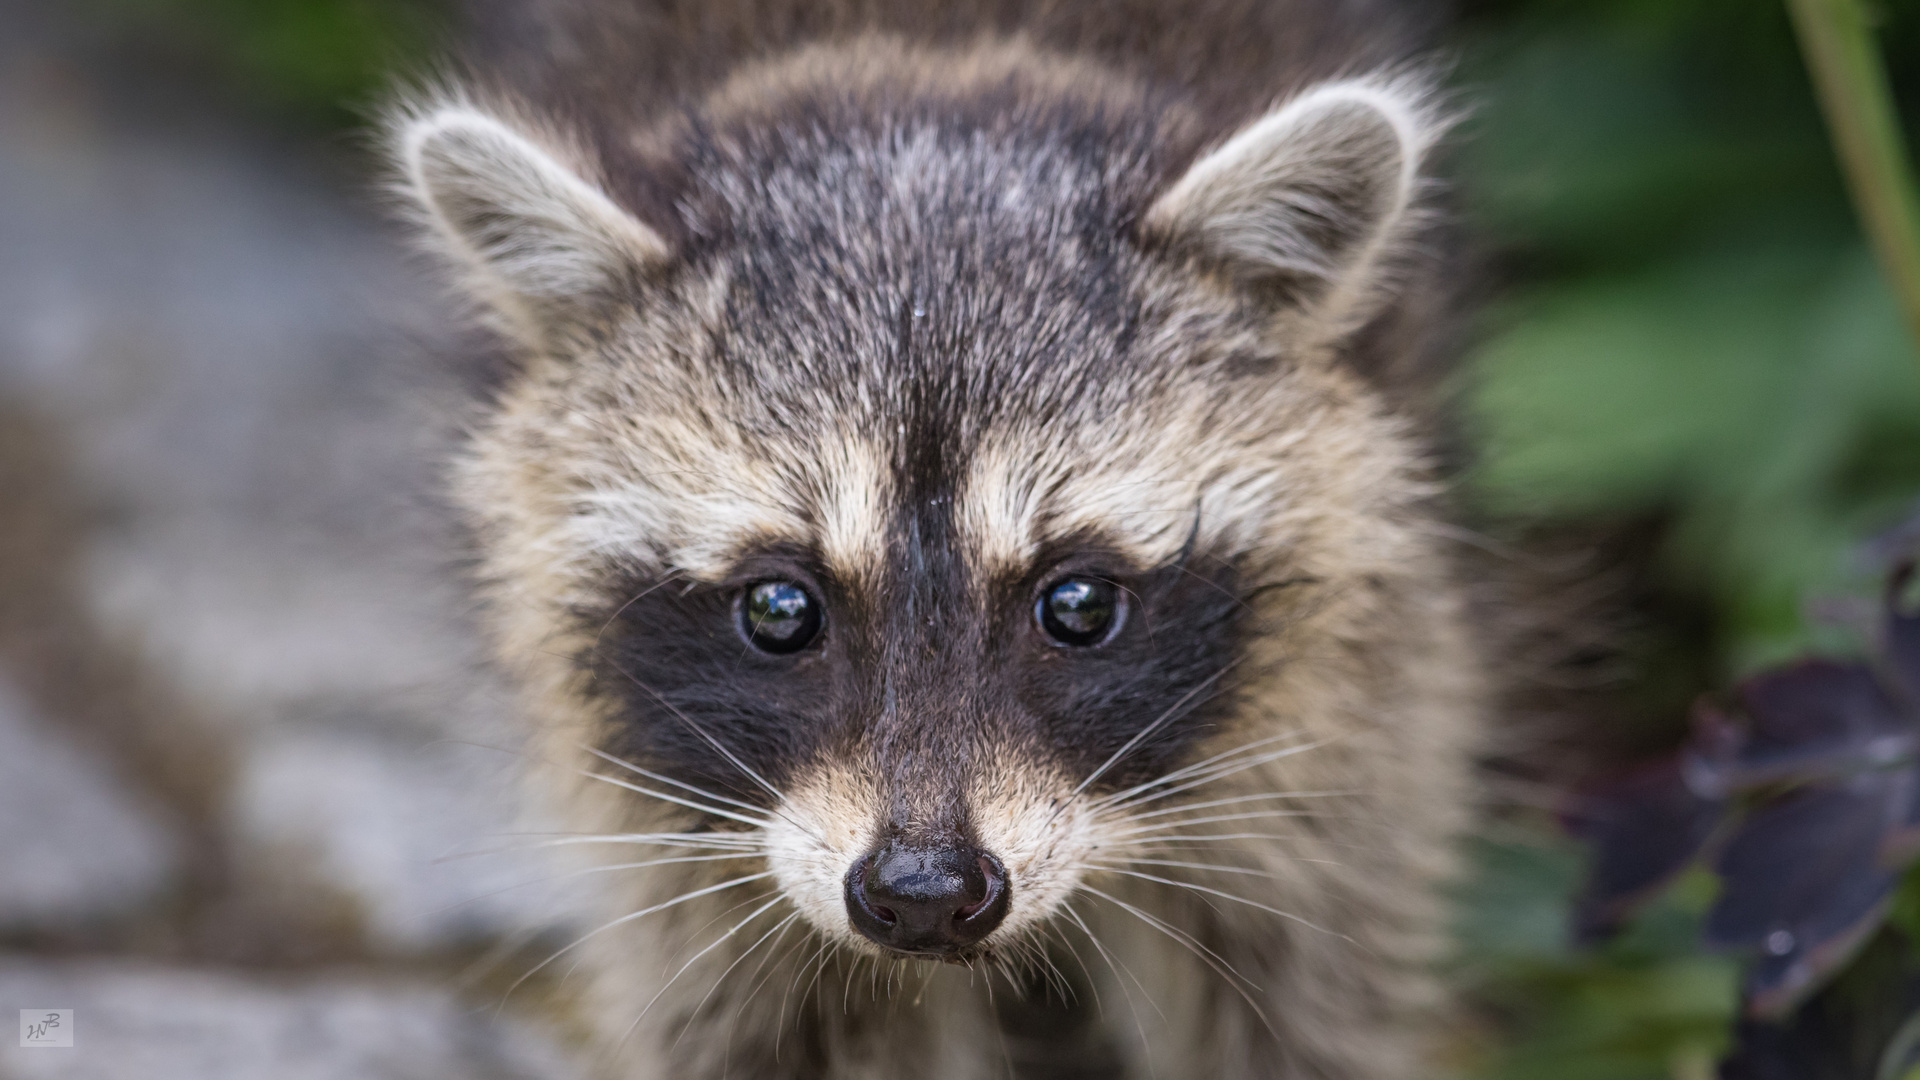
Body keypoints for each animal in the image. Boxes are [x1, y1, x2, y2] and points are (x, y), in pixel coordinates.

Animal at [389, 4, 1482, 1068]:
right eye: (779, 609)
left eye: (1078, 604)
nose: (923, 894)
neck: (927, 81)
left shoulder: (1338, 735)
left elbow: (1299, 988)